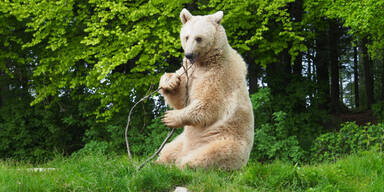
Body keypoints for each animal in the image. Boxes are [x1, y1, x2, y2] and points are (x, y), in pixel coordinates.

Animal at [157, 8, 255, 170]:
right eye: (186, 36)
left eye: (199, 38)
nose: (188, 54)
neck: (204, 62)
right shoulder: (190, 72)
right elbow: (181, 98)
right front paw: (170, 82)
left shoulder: (218, 76)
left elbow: (207, 104)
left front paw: (170, 117)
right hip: (182, 141)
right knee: (169, 149)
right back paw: (159, 162)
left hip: (222, 140)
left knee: (209, 155)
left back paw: (182, 164)